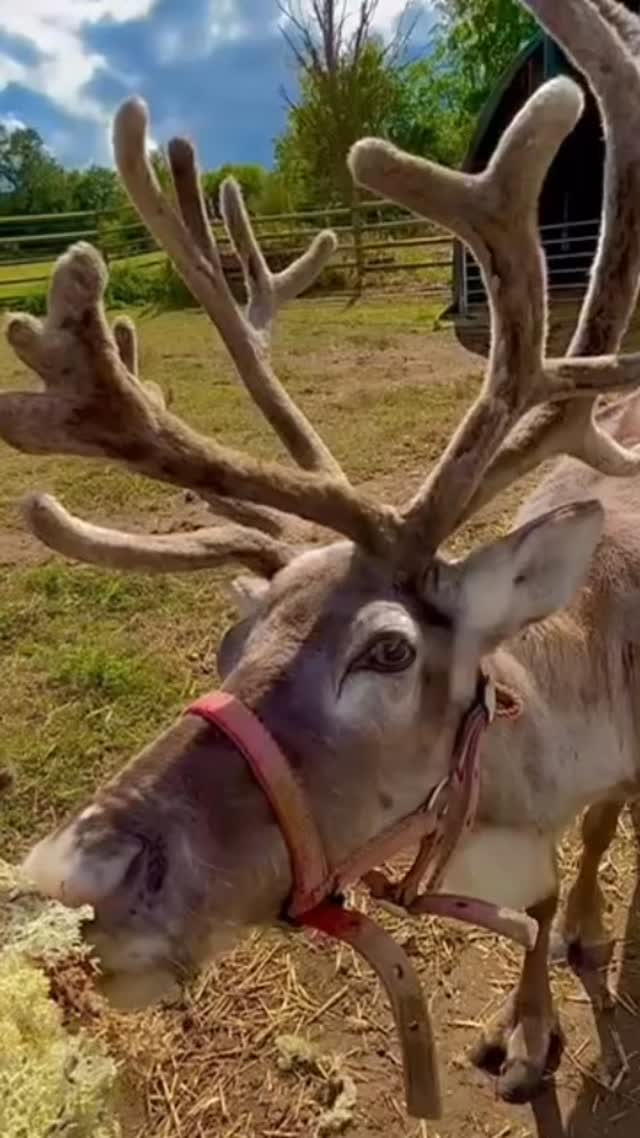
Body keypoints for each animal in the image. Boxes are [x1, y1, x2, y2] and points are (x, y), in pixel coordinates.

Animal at [4, 0, 640, 1114]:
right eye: (230, 641)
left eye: (388, 651)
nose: (72, 875)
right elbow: (549, 887)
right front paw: (528, 1033)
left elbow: (585, 859)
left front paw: (565, 996)